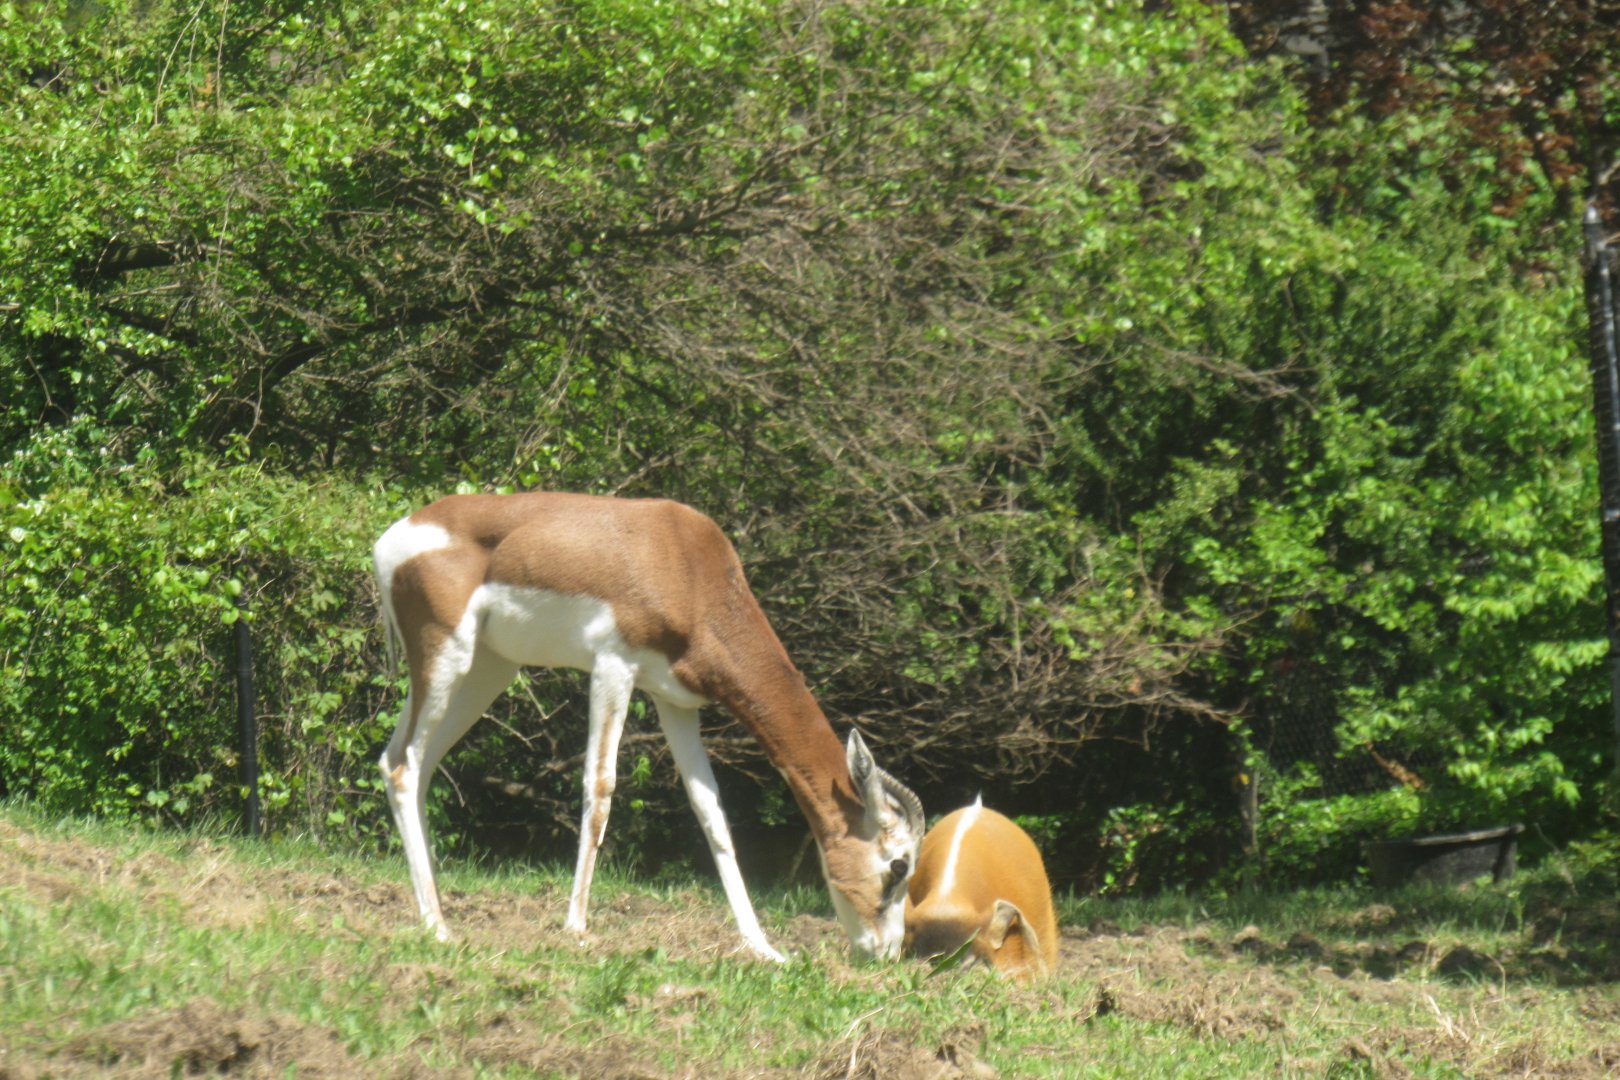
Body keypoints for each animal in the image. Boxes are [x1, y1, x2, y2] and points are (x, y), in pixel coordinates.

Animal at [372, 492, 924, 961]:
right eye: (899, 864)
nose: (888, 951)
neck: (687, 567)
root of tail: (391, 538)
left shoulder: (676, 701)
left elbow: (711, 813)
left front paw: (763, 947)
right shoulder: (613, 666)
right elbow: (601, 788)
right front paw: (577, 927)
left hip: (487, 670)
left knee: (405, 762)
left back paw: (435, 908)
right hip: (447, 655)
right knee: (404, 766)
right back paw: (437, 926)